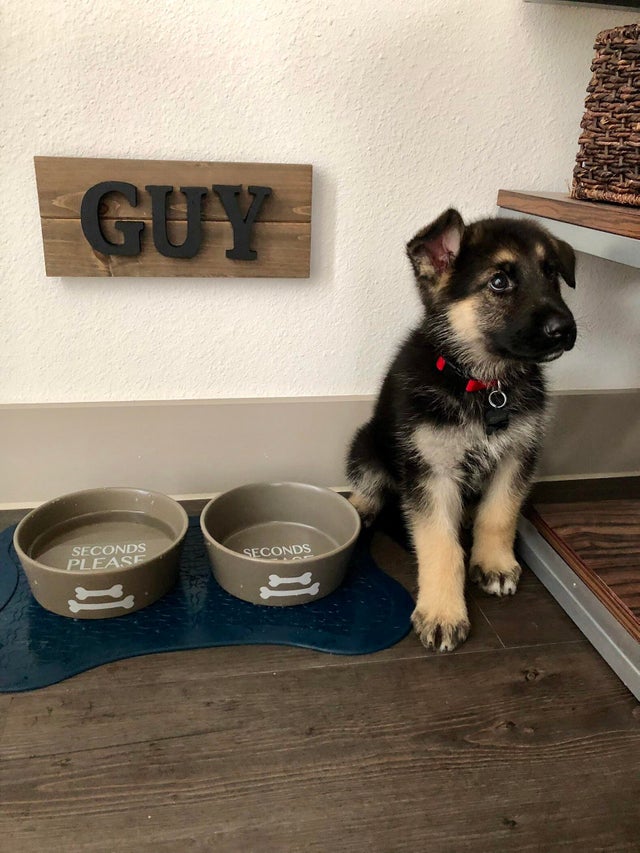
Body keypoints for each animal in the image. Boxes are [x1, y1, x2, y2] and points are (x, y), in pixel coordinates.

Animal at [348, 210, 576, 648]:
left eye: (552, 273)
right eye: (499, 281)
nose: (565, 329)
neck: (484, 386)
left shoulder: (517, 455)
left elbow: (499, 514)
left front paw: (495, 563)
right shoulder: (430, 471)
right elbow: (441, 544)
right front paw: (442, 612)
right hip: (365, 443)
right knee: (370, 482)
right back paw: (360, 507)